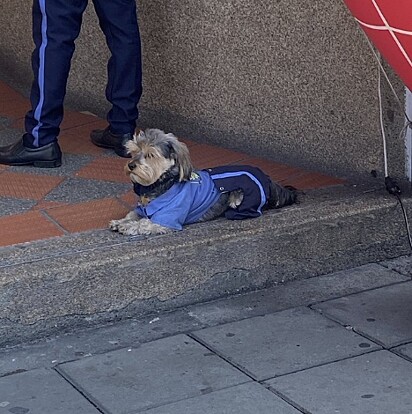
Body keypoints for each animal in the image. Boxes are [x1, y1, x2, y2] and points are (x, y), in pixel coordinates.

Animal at [109, 128, 296, 234]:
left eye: (150, 155)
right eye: (134, 151)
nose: (131, 165)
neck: (163, 184)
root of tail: (269, 179)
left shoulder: (167, 220)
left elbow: (145, 223)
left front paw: (129, 227)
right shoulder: (142, 209)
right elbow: (132, 214)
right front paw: (121, 221)